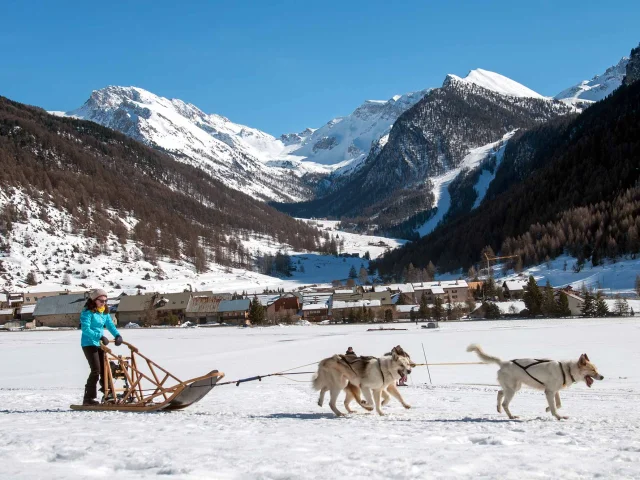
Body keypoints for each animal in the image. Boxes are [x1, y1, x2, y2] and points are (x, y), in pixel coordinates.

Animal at [468, 344, 604, 418]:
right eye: (592, 370)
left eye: (596, 369)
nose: (602, 377)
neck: (567, 370)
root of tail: (504, 363)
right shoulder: (549, 392)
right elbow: (555, 407)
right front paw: (558, 417)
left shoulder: (554, 391)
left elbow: (558, 404)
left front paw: (548, 409)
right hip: (512, 390)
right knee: (505, 403)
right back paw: (511, 416)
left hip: (514, 387)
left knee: (499, 392)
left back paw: (498, 408)